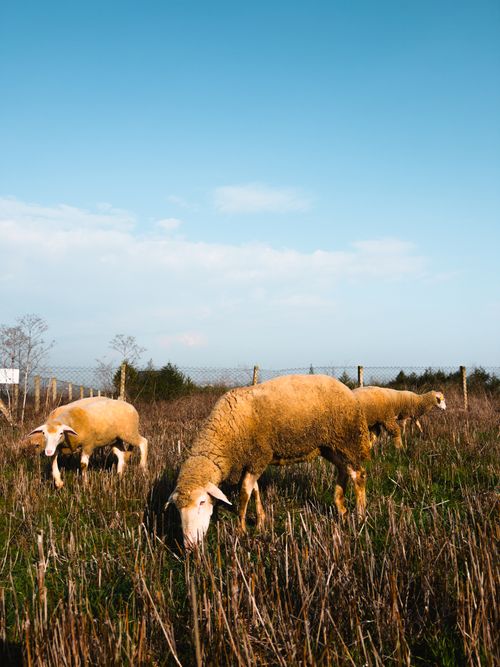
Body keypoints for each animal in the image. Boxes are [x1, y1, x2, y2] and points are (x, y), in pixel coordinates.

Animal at [167, 374, 371, 548]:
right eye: (177, 509)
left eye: (202, 502)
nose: (189, 545)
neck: (226, 432)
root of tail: (347, 390)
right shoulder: (252, 462)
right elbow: (255, 490)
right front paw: (260, 522)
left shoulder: (258, 457)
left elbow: (244, 492)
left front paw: (241, 529)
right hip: (330, 446)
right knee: (344, 470)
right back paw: (341, 508)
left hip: (346, 439)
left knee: (358, 474)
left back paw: (360, 515)